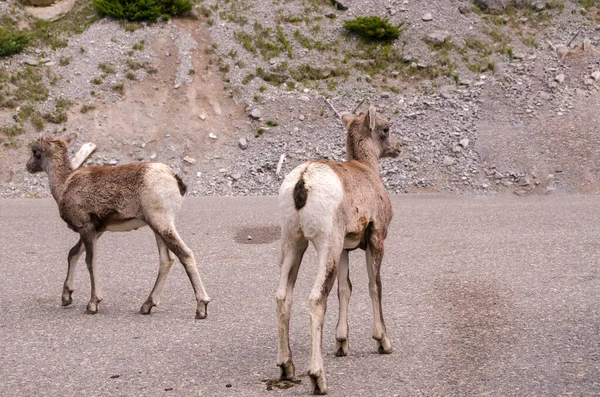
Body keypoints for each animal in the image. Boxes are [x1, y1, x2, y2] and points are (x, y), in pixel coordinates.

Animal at [25, 134, 211, 318]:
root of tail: (174, 178)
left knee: (185, 255)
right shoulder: (96, 231)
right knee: (167, 260)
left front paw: (93, 304)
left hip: (162, 224)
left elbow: (90, 261)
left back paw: (201, 308)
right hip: (157, 228)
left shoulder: (86, 228)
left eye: (35, 151)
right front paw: (66, 298)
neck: (64, 185)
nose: (28, 166)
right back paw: (146, 306)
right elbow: (73, 254)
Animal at [276, 104, 404, 392]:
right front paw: (383, 341)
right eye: (386, 128)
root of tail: (302, 182)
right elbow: (374, 286)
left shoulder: (346, 247)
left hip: (293, 243)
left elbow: (345, 289)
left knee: (282, 296)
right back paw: (317, 378)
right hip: (327, 246)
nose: (399, 147)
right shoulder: (376, 238)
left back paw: (286, 367)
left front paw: (342, 344)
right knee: (316, 299)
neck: (368, 170)